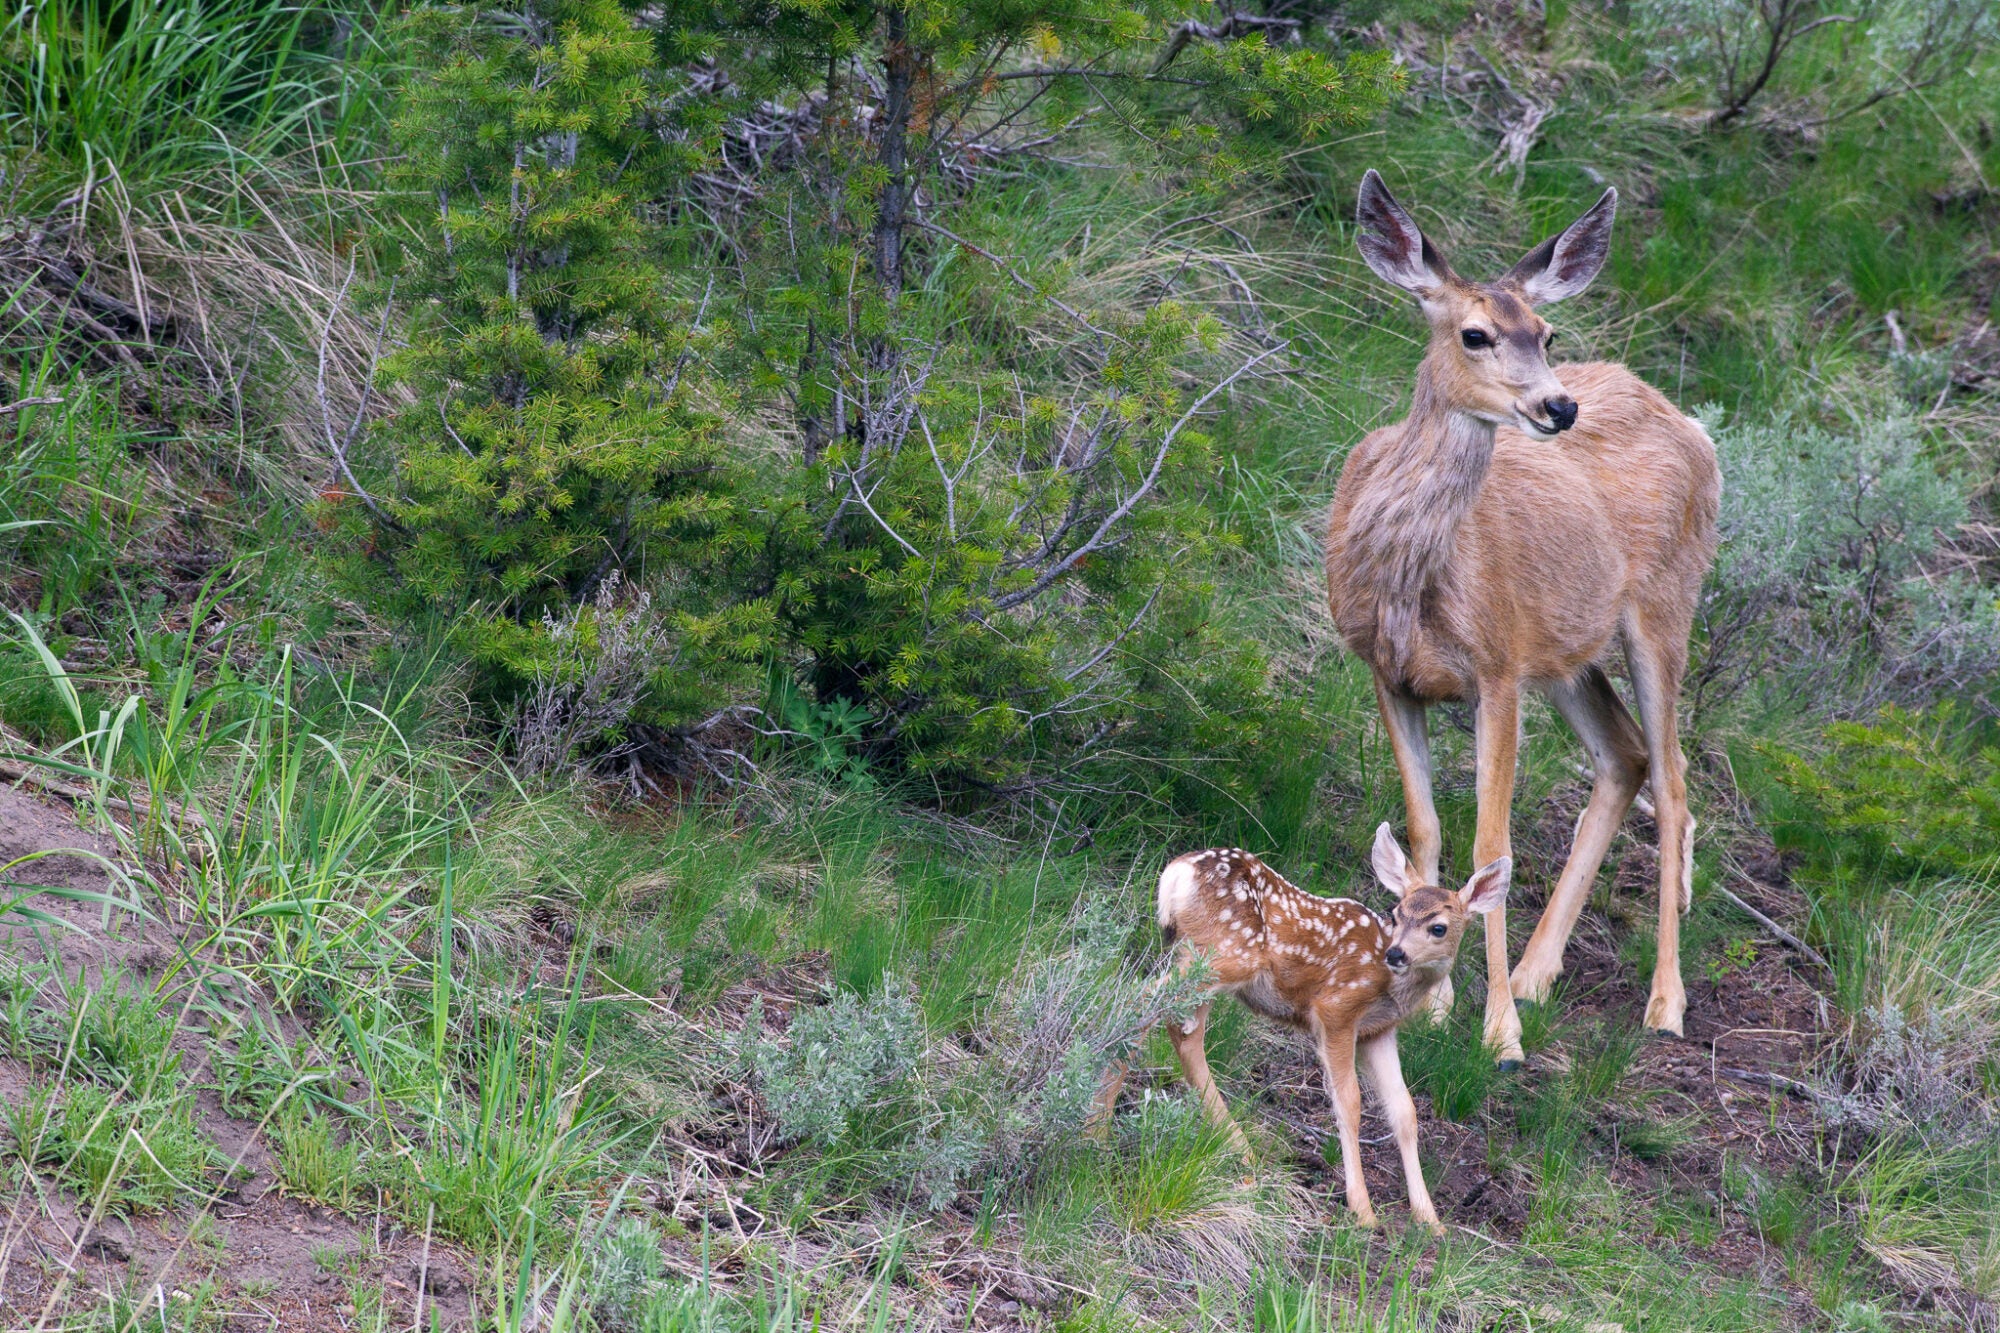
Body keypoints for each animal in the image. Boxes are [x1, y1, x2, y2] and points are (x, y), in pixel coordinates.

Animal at [1091, 830, 1509, 1232]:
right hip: (1224, 955)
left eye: (1438, 927)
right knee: (1141, 998)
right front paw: (1363, 1211)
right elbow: (1350, 1102)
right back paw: (1097, 1128)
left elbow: (1404, 1112)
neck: (1390, 986)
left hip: (1199, 956)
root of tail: (1177, 874)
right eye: (1397, 913)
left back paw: (1238, 1148)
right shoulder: (1336, 1009)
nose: (1396, 953)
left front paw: (1430, 1220)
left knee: (1183, 1032)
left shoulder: (1378, 1031)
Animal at [1325, 170, 1721, 1067]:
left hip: (1664, 605)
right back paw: (1541, 972)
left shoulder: (1497, 668)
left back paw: (1664, 1002)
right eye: (1474, 333)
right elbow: (1427, 830)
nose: (1558, 406)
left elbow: (1491, 845)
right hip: (1569, 651)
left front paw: (1497, 1031)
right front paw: (1435, 1005)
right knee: (1625, 756)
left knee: (1675, 781)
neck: (1410, 579)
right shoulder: (1387, 672)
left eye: (1544, 331)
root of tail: (1694, 424)